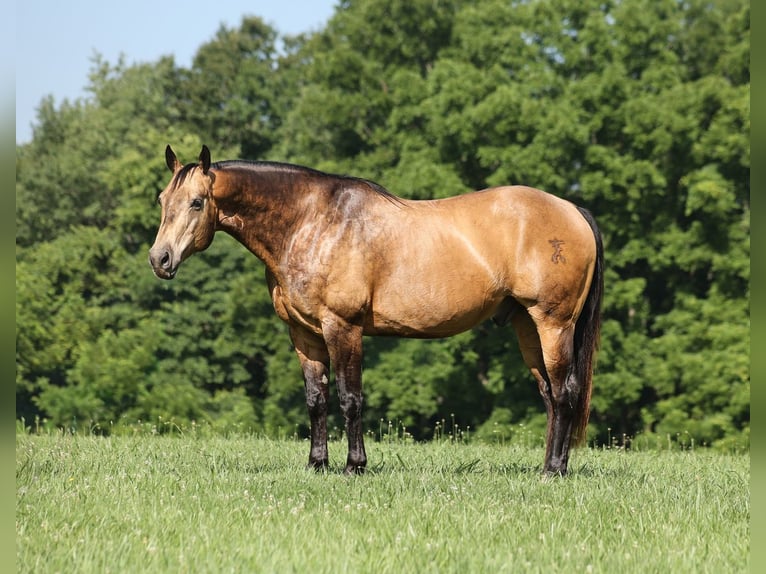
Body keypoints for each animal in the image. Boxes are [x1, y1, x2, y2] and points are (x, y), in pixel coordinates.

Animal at [149, 145, 604, 476]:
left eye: (196, 202)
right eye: (162, 199)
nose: (160, 259)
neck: (312, 223)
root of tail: (572, 210)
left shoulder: (342, 328)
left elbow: (350, 398)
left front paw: (355, 466)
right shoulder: (304, 334)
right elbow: (316, 399)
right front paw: (317, 464)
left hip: (553, 324)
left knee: (565, 391)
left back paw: (555, 470)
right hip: (527, 326)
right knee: (549, 395)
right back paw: (547, 466)